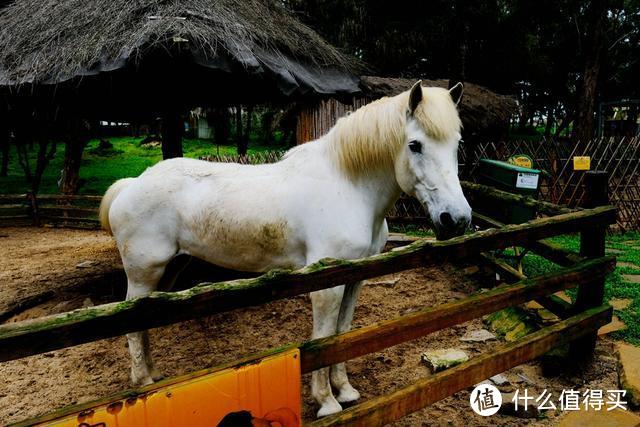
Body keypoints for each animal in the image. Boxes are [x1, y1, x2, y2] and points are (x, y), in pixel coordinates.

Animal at [100, 81, 470, 418]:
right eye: (415, 144)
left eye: (457, 144)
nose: (457, 219)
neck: (348, 187)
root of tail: (131, 185)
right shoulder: (326, 286)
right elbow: (323, 339)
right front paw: (327, 402)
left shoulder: (355, 279)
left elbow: (343, 334)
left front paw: (345, 390)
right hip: (143, 274)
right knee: (131, 326)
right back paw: (143, 381)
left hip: (168, 273)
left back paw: (152, 378)